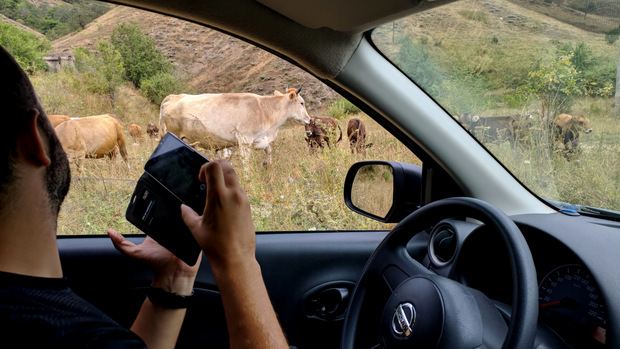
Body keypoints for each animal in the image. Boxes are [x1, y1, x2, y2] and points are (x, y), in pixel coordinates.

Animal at [161, 85, 310, 164]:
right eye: (302, 103)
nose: (308, 119)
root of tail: (174, 96)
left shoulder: (259, 139)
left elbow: (268, 150)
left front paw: (268, 165)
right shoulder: (244, 140)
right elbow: (246, 163)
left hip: (189, 140)